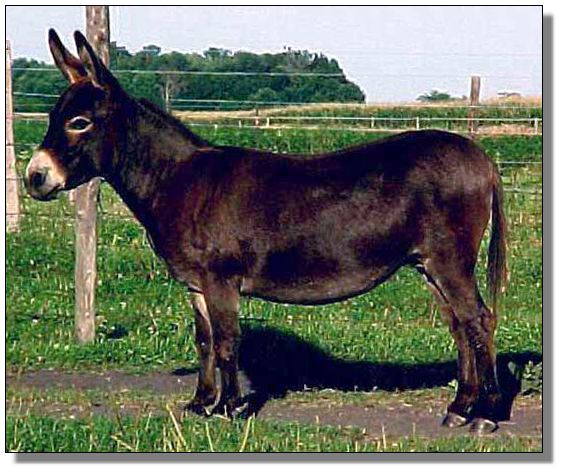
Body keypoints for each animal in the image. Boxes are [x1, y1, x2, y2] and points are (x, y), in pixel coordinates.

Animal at [26, 29, 508, 434]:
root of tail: (480, 156)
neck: (178, 181)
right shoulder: (196, 284)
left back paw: (484, 414)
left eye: (80, 123)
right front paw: (200, 404)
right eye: (52, 116)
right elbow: (204, 340)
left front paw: (229, 409)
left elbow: (226, 342)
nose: (34, 177)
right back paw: (458, 407)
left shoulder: (221, 280)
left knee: (479, 321)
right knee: (460, 325)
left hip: (449, 261)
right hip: (429, 265)